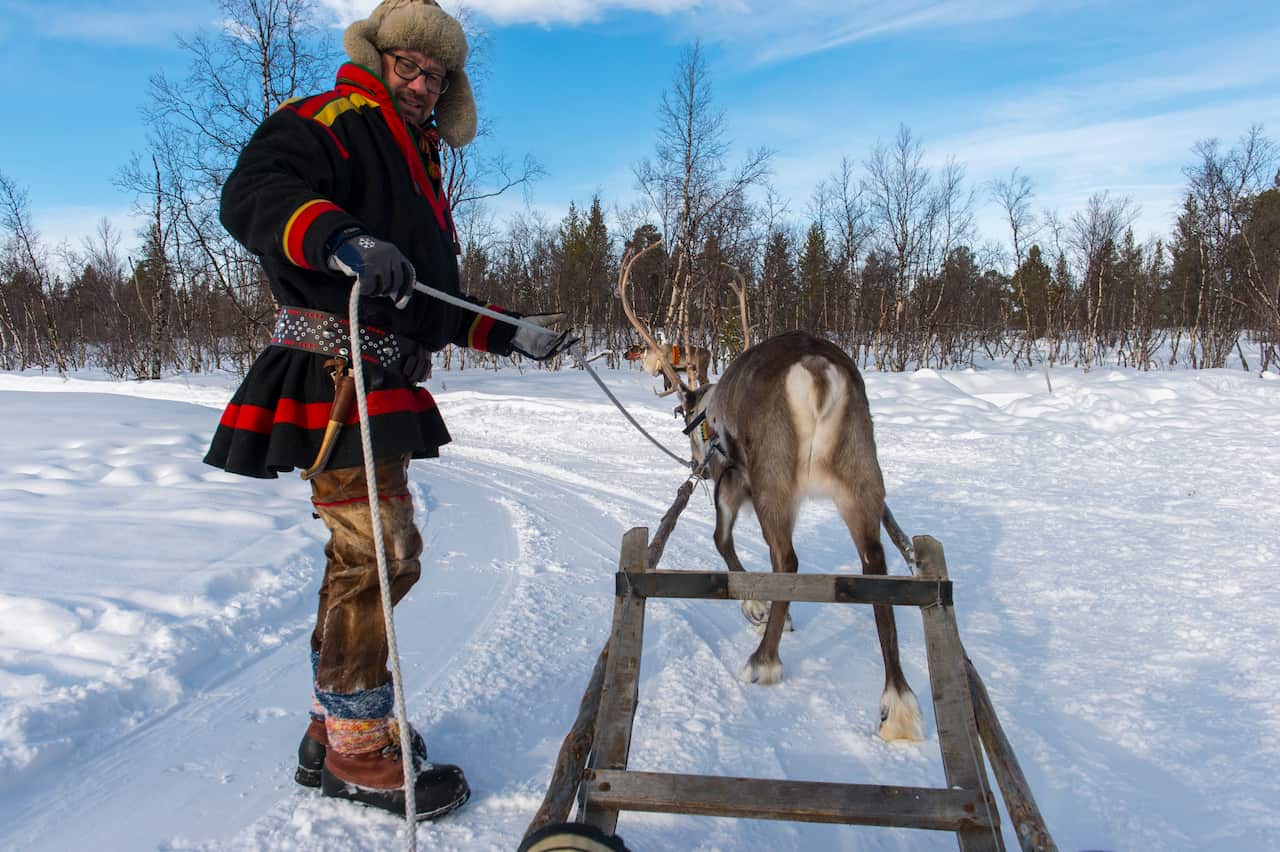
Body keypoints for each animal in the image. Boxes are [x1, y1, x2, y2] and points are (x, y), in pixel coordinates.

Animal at [618, 245, 924, 743]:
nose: (694, 454)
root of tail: (816, 369)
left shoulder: (728, 478)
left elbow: (721, 542)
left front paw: (755, 606)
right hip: (861, 475)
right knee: (874, 564)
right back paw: (897, 702)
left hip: (771, 478)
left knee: (787, 560)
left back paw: (763, 660)